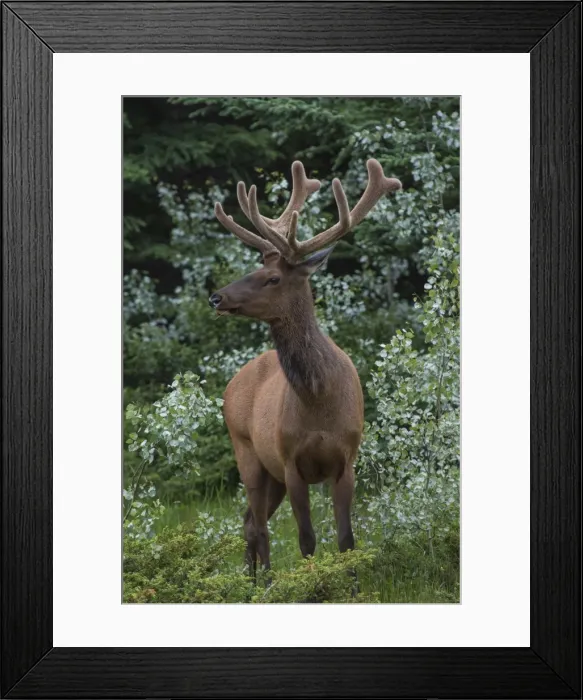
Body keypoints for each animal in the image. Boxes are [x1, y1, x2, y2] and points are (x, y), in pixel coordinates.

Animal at [209, 159, 402, 578]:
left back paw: (252, 581)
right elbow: (307, 541)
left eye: (272, 277)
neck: (318, 397)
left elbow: (346, 540)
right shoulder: (290, 460)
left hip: (270, 473)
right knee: (258, 526)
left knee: (249, 521)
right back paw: (262, 583)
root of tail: (231, 385)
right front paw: (310, 585)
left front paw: (352, 585)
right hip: (248, 452)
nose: (216, 296)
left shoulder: (346, 460)